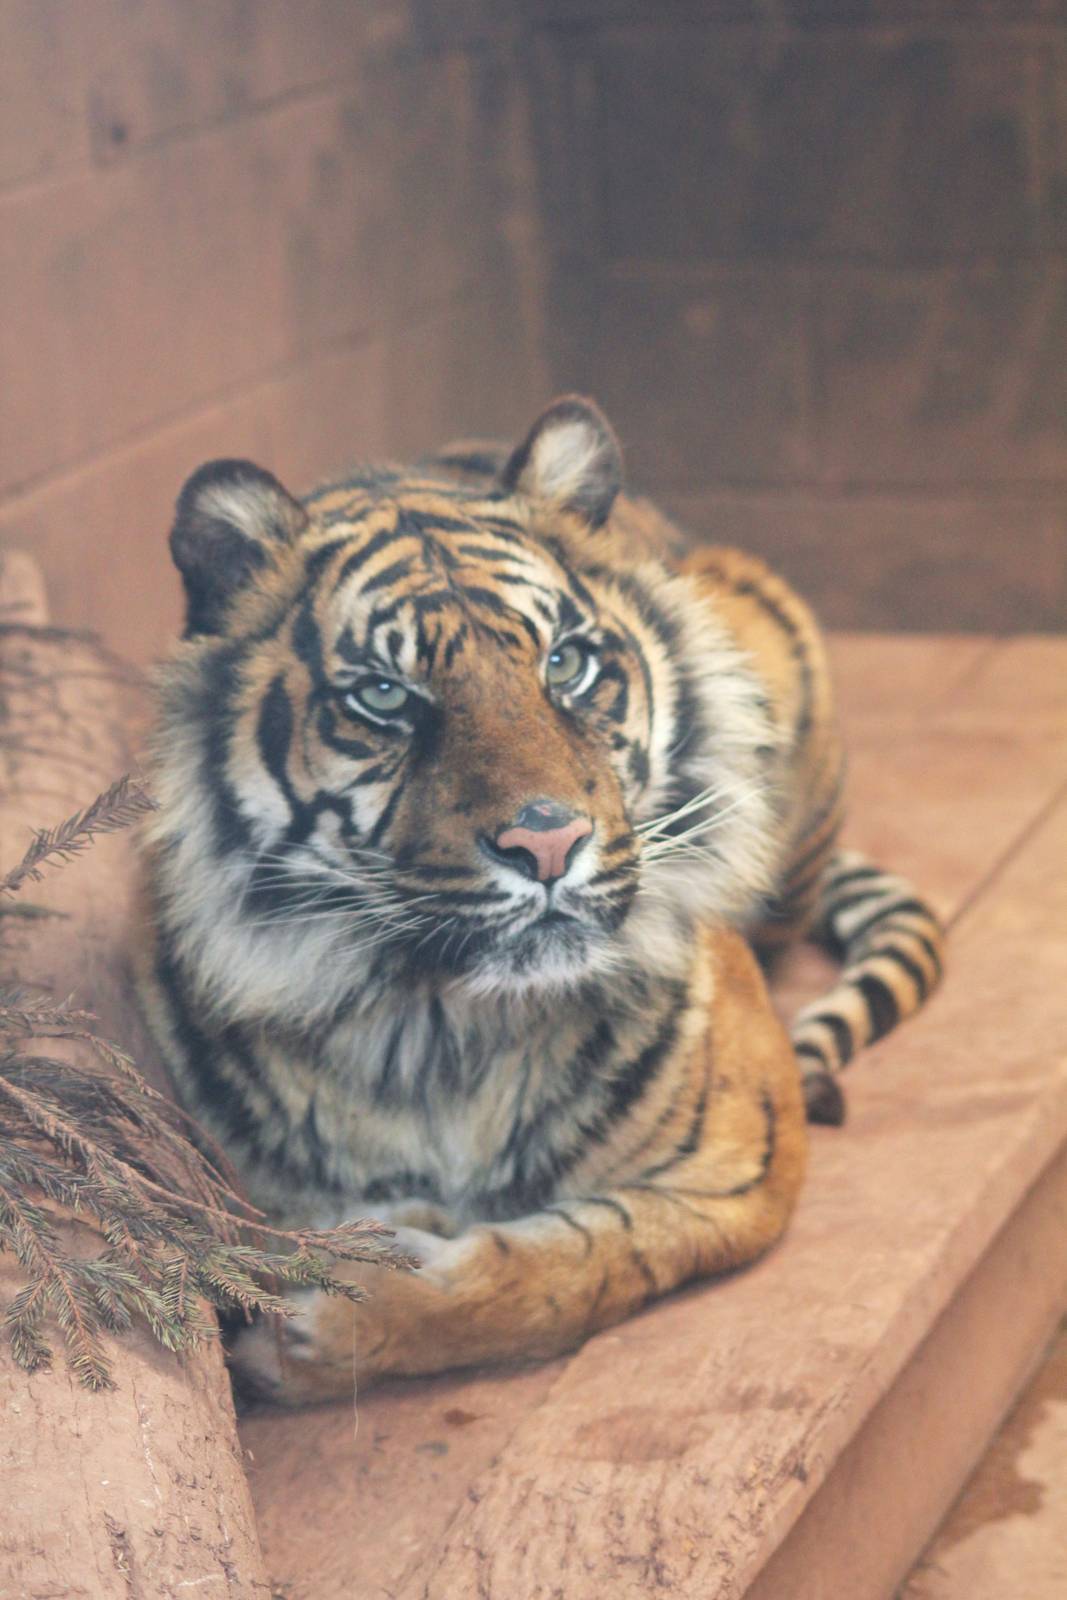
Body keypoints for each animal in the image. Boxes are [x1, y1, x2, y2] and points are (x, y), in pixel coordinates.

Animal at [136, 395, 944, 1403]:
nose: (547, 842)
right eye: (383, 695)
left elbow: (568, 1270)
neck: (441, 1031)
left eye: (565, 665)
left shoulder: (741, 1169)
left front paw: (325, 1318)